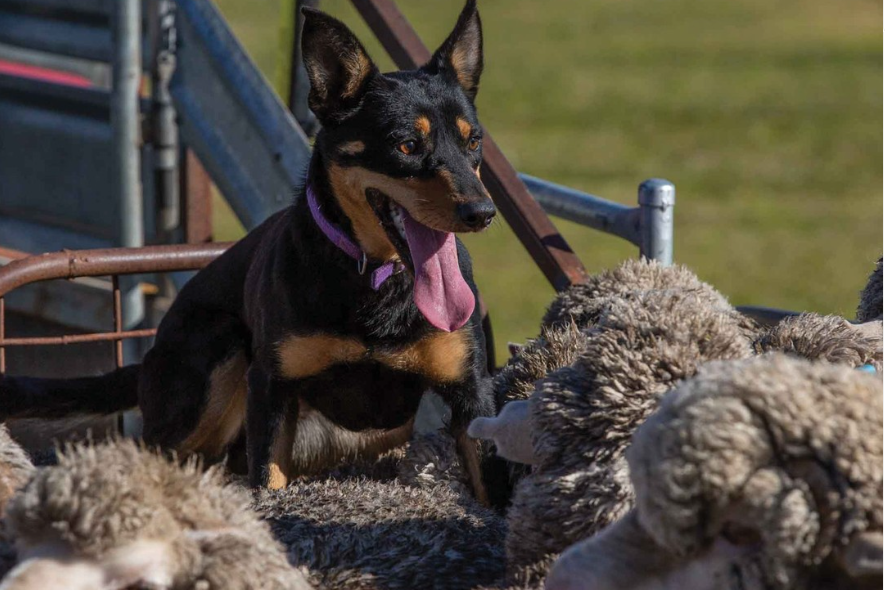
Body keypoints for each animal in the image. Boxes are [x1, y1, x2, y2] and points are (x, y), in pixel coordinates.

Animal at [0, 2, 498, 506]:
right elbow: (269, 477)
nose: (482, 212)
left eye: (473, 141)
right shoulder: (272, 388)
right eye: (407, 145)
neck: (376, 277)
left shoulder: (471, 392)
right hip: (214, 353)